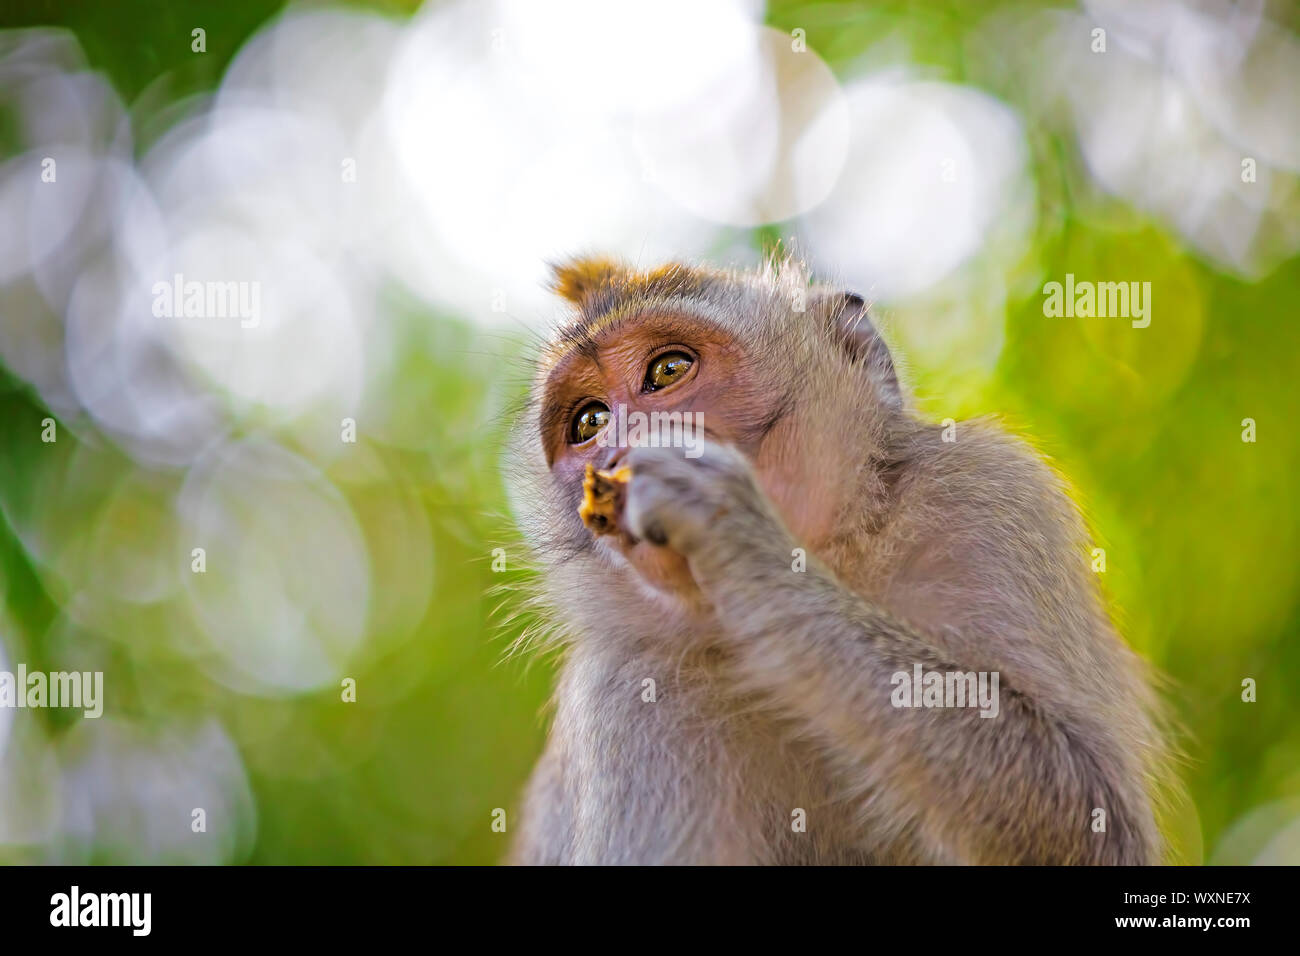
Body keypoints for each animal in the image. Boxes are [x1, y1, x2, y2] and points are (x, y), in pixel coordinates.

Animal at [502, 255, 1171, 865]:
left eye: (667, 370)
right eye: (590, 421)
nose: (617, 453)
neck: (842, 558)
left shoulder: (991, 493)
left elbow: (1088, 814)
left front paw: (739, 533)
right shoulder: (627, 686)